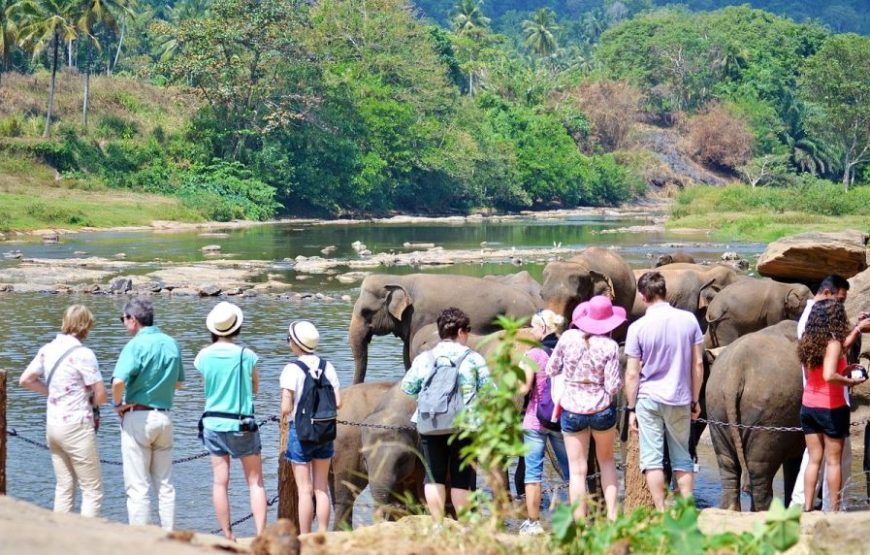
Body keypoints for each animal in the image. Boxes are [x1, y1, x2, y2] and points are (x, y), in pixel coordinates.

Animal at [348, 272, 540, 384]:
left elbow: (410, 352)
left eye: (366, 312)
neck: (398, 279)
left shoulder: (420, 316)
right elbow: (405, 354)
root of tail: (534, 305)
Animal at [708, 322, 804, 512]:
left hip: (716, 408)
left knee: (727, 464)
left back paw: (731, 509)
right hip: (768, 416)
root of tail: (735, 370)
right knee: (759, 468)